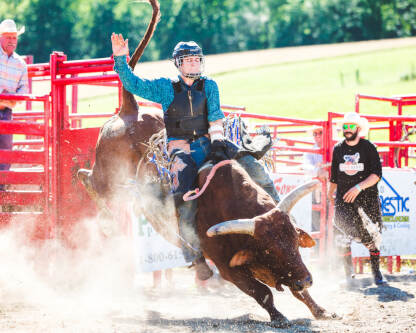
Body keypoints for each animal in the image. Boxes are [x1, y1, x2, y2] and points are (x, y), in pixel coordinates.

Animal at [77, 0, 338, 326]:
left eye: (292, 239)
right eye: (268, 248)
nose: (307, 279)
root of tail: (130, 109)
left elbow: (294, 291)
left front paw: (320, 308)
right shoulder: (227, 267)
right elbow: (262, 292)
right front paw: (279, 316)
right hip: (108, 175)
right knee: (87, 178)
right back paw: (106, 220)